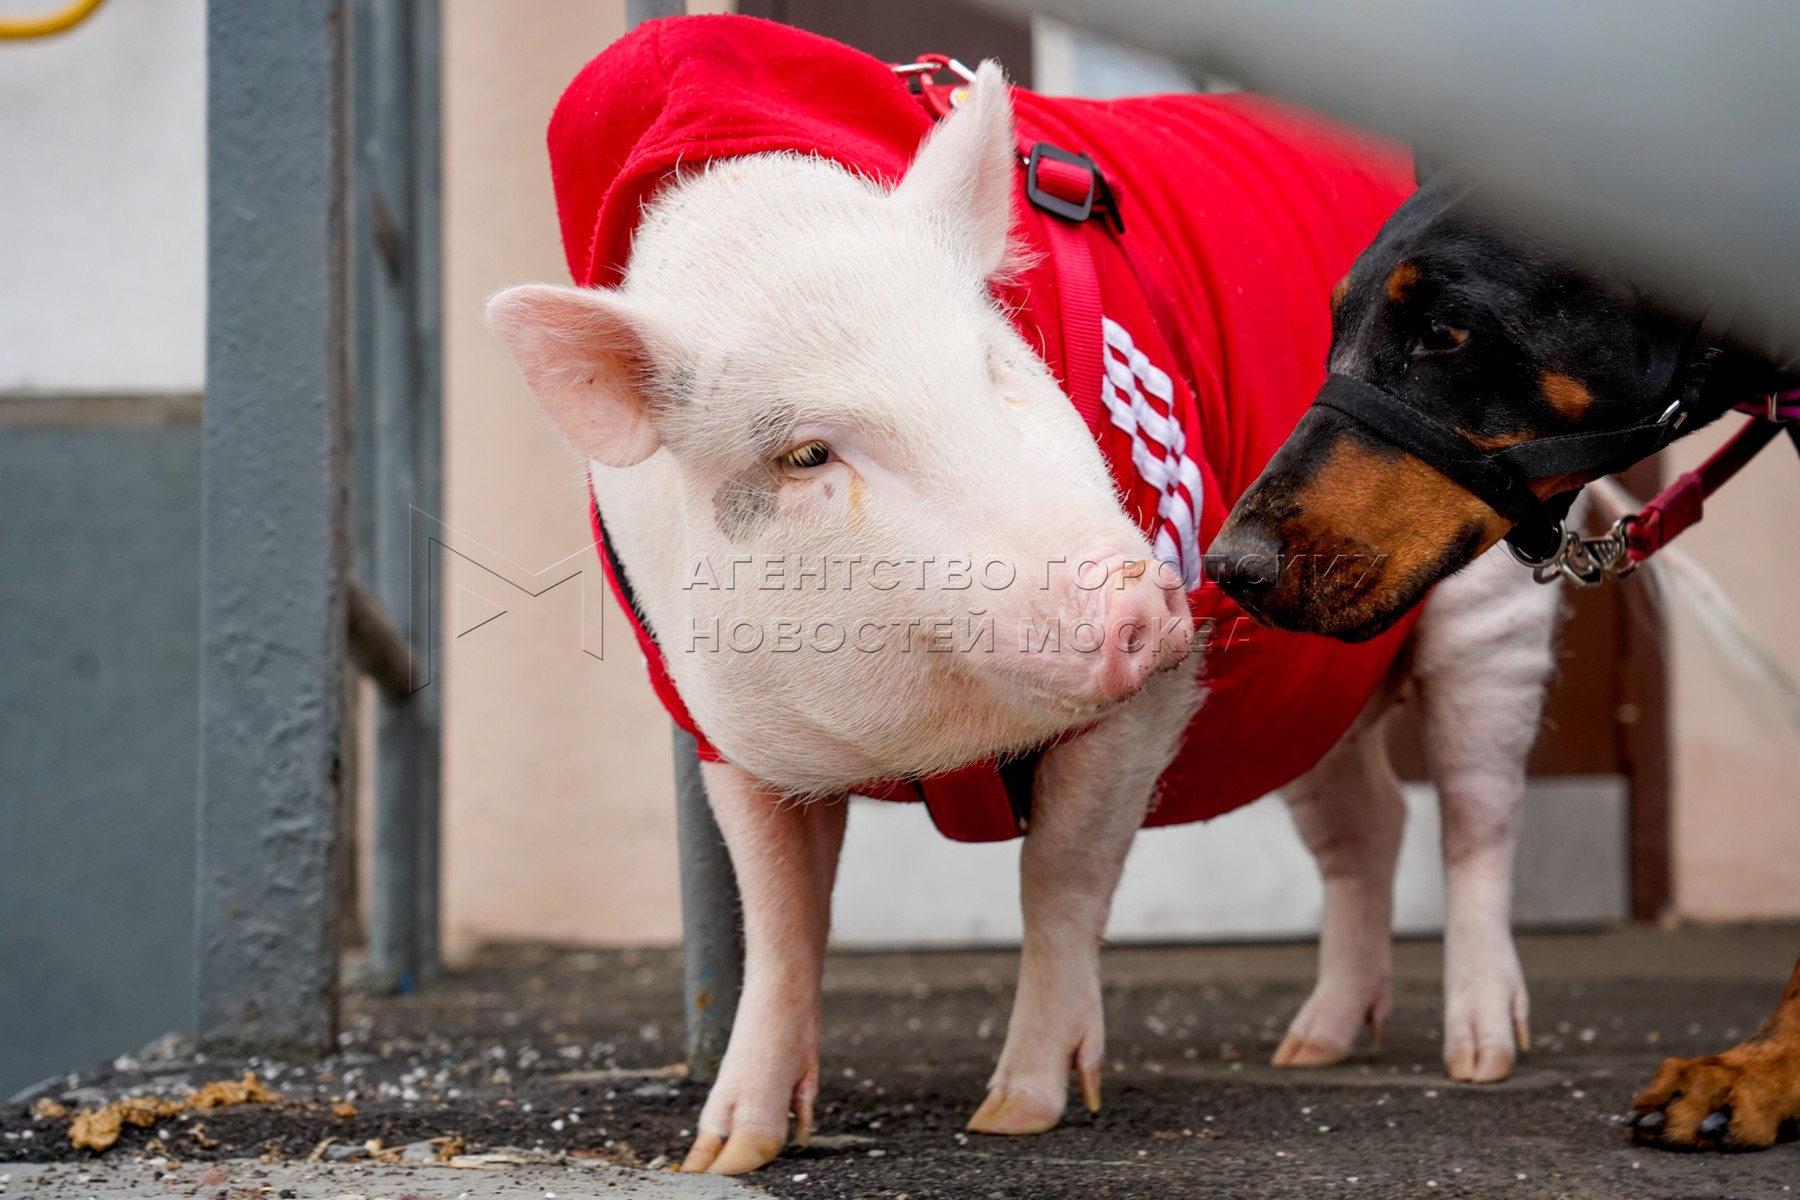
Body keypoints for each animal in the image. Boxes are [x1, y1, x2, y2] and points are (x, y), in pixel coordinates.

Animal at [486, 23, 1569, 1180]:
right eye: (806, 455)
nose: (1144, 597)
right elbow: (780, 923)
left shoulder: (1158, 695)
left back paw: (1480, 1057)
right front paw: (726, 1152)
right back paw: (1309, 1049)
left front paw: (1016, 1114)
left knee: (1477, 813)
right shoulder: (721, 728)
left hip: (1492, 597)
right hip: (1308, 682)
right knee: (1368, 821)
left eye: (999, 365)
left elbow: (1060, 877)